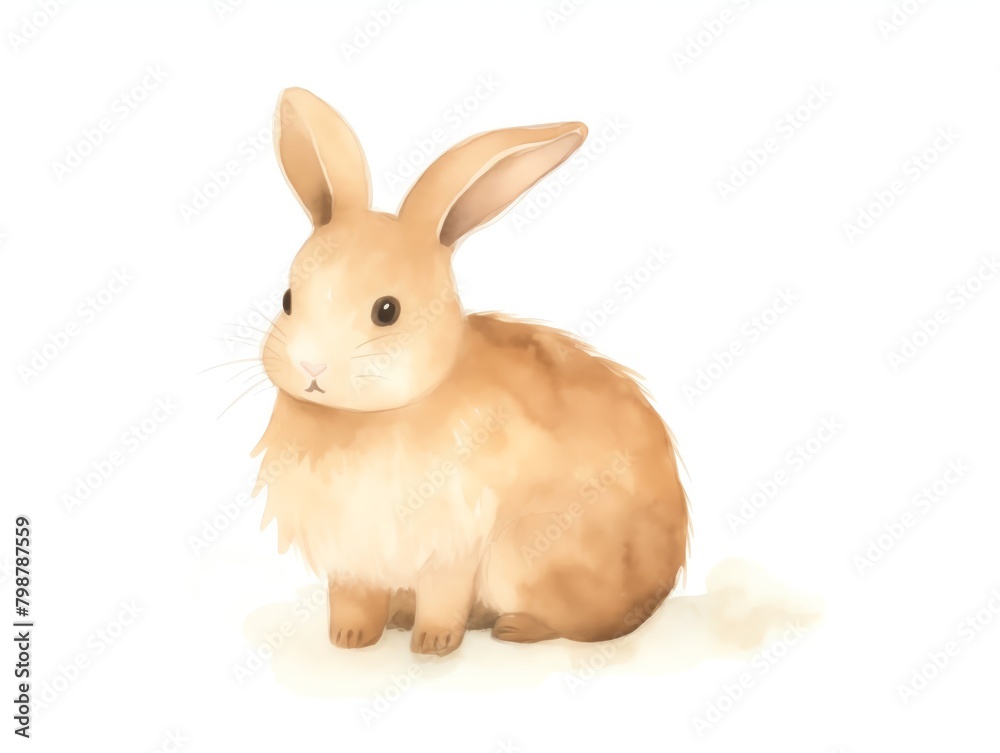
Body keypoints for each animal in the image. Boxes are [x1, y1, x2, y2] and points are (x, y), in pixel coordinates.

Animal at [251, 87, 689, 656]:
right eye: (287, 300)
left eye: (387, 311)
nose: (311, 366)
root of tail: (658, 590)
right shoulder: (352, 555)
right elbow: (354, 599)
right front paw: (349, 640)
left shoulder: (452, 539)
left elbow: (443, 595)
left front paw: (433, 646)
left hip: (525, 557)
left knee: (587, 627)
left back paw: (511, 628)